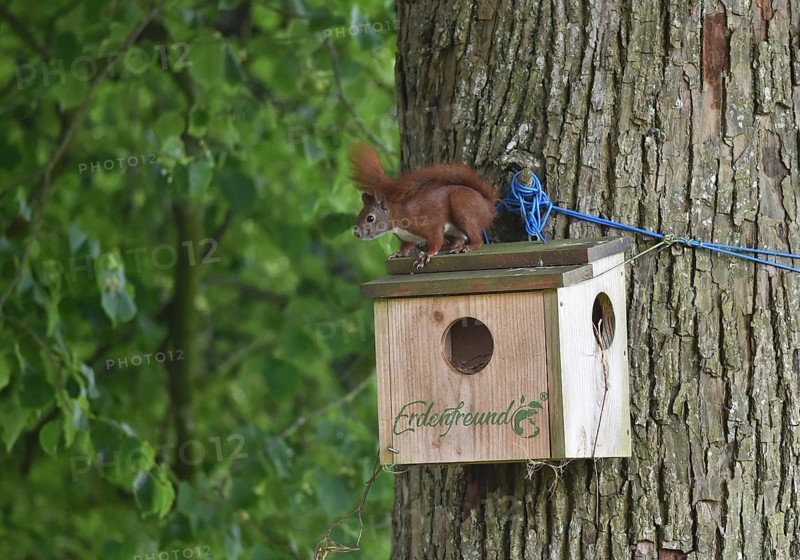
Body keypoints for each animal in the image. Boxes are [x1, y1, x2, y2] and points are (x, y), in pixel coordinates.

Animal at [349, 144, 497, 269]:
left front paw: (427, 254)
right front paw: (399, 253)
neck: (398, 218)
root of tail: (487, 204)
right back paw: (450, 246)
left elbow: (436, 239)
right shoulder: (406, 238)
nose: (357, 233)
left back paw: (467, 247)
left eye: (370, 218)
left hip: (463, 208)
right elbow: (406, 247)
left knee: (476, 238)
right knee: (459, 239)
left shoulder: (429, 224)